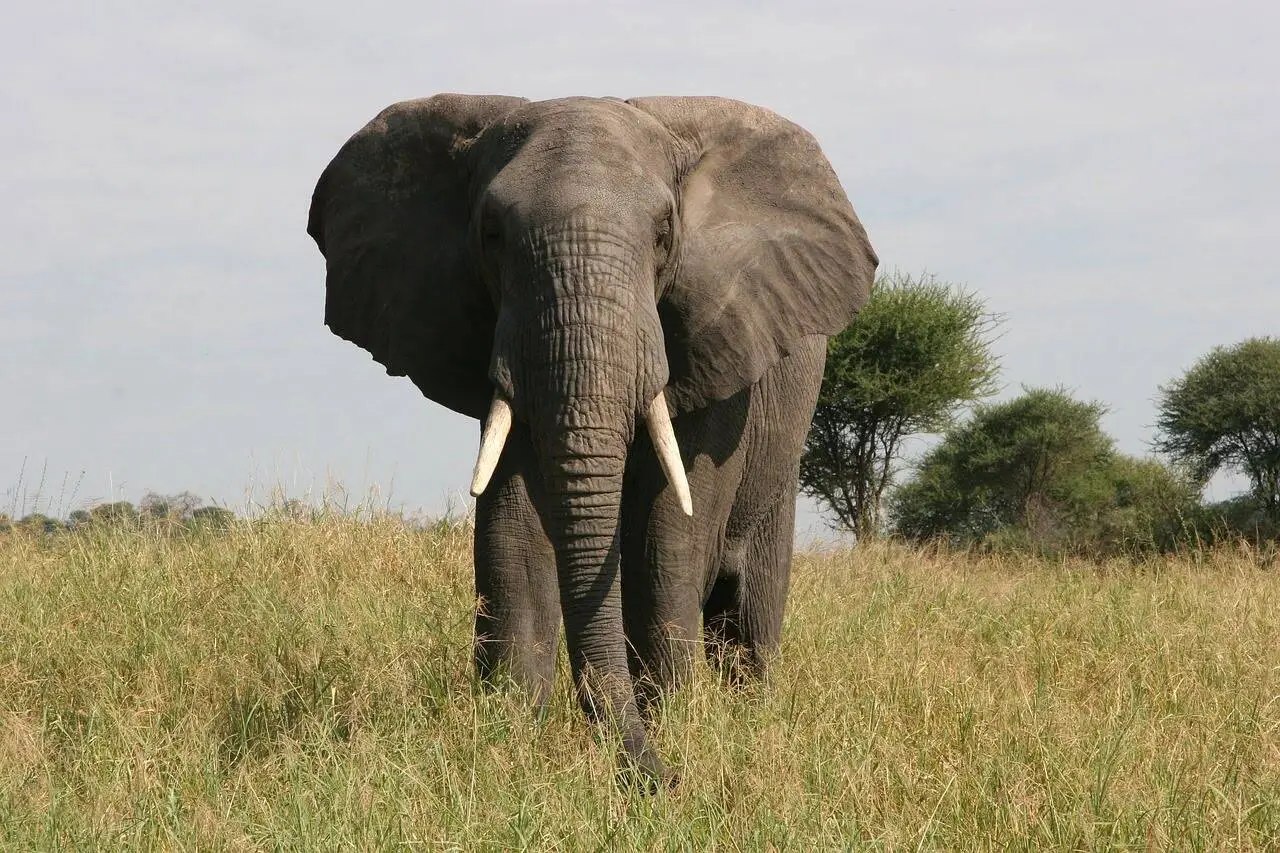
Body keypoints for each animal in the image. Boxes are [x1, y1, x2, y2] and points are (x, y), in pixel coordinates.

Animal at [304, 94, 875, 783]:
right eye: (491, 234)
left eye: (663, 233)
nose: (666, 781)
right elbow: (512, 525)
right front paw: (507, 740)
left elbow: (671, 526)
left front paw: (673, 724)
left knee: (749, 607)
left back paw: (750, 714)